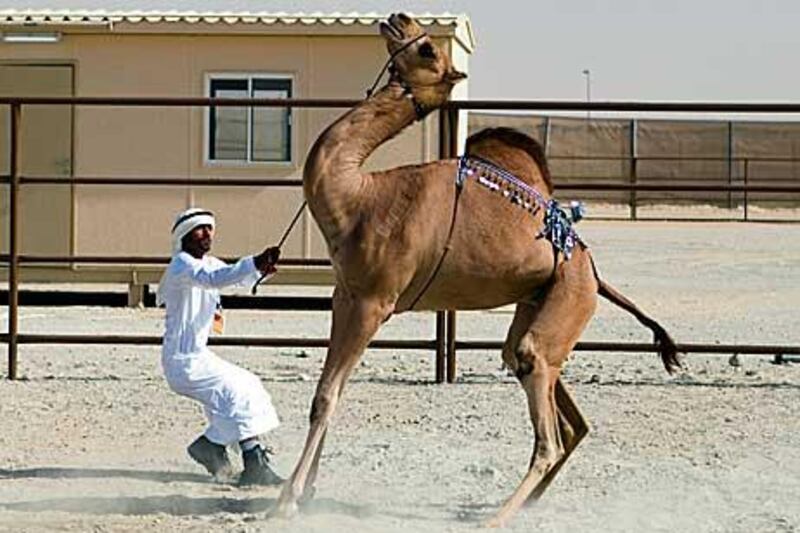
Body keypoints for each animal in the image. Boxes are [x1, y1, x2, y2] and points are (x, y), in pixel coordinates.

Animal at [276, 13, 680, 528]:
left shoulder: (375, 301)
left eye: (428, 49)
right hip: (539, 305)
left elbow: (328, 395)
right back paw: (526, 501)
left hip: (567, 301)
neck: (361, 197)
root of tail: (593, 271)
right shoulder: (343, 295)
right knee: (551, 393)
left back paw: (499, 515)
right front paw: (305, 491)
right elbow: (331, 392)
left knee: (544, 415)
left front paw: (287, 499)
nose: (398, 18)